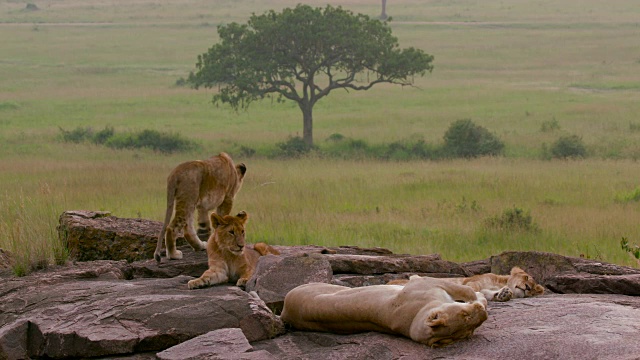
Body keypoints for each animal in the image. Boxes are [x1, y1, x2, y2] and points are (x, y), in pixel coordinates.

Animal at [280, 276, 484, 346]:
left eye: (470, 332)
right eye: (465, 316)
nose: (483, 312)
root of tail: (284, 312)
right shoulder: (423, 282)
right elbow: (467, 290)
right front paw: (480, 297)